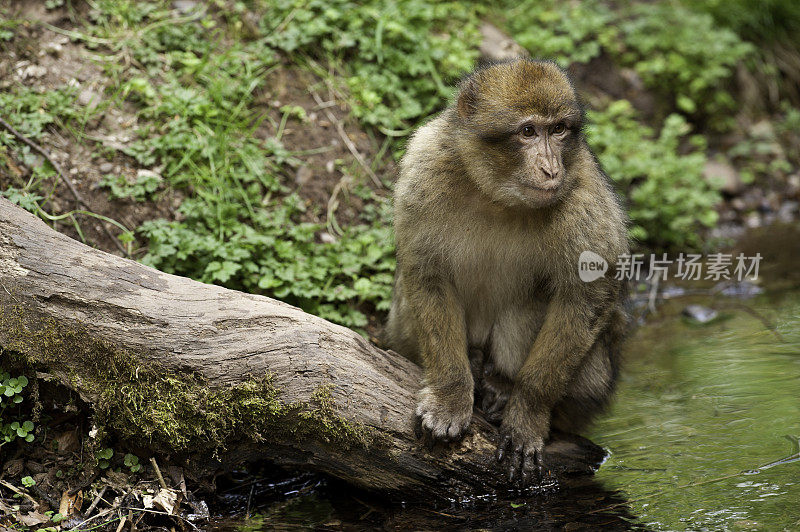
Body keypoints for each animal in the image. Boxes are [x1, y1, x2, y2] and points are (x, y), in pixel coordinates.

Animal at [384, 58, 628, 486]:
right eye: (528, 132)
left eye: (558, 130)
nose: (551, 169)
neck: (498, 196)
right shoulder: (424, 168)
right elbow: (427, 272)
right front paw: (450, 397)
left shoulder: (586, 198)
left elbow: (586, 297)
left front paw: (526, 413)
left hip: (595, 378)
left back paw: (500, 383)